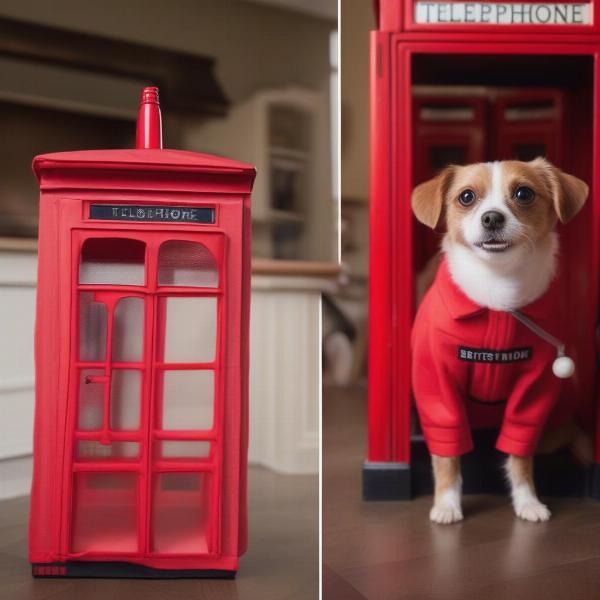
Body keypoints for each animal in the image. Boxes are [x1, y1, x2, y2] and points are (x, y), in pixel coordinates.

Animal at [410, 157, 588, 524]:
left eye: (524, 193)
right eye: (466, 197)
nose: (492, 217)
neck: (498, 295)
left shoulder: (533, 392)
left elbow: (519, 452)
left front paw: (527, 500)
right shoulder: (437, 388)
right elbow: (446, 454)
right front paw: (446, 503)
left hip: (555, 428)